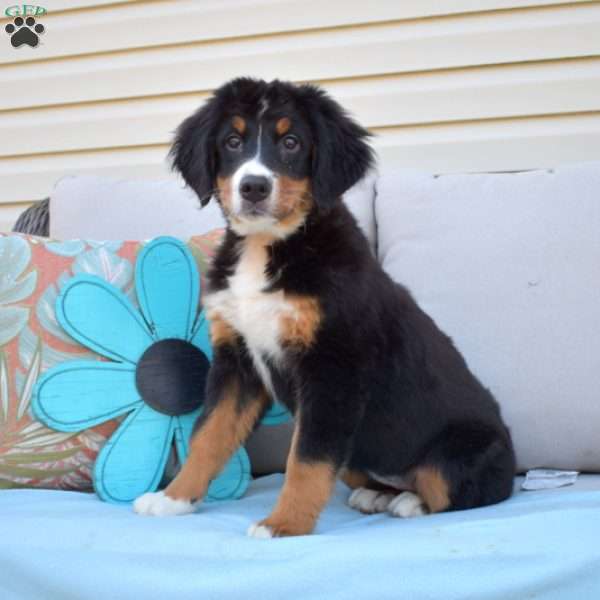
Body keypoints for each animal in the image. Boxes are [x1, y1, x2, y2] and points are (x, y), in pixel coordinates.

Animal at [135, 77, 516, 536]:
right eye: (232, 141)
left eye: (292, 142)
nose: (254, 187)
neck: (269, 245)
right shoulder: (237, 361)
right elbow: (209, 435)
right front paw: (172, 499)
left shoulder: (334, 368)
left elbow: (306, 459)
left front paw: (283, 525)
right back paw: (376, 494)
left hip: (462, 450)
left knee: (455, 491)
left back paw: (410, 502)